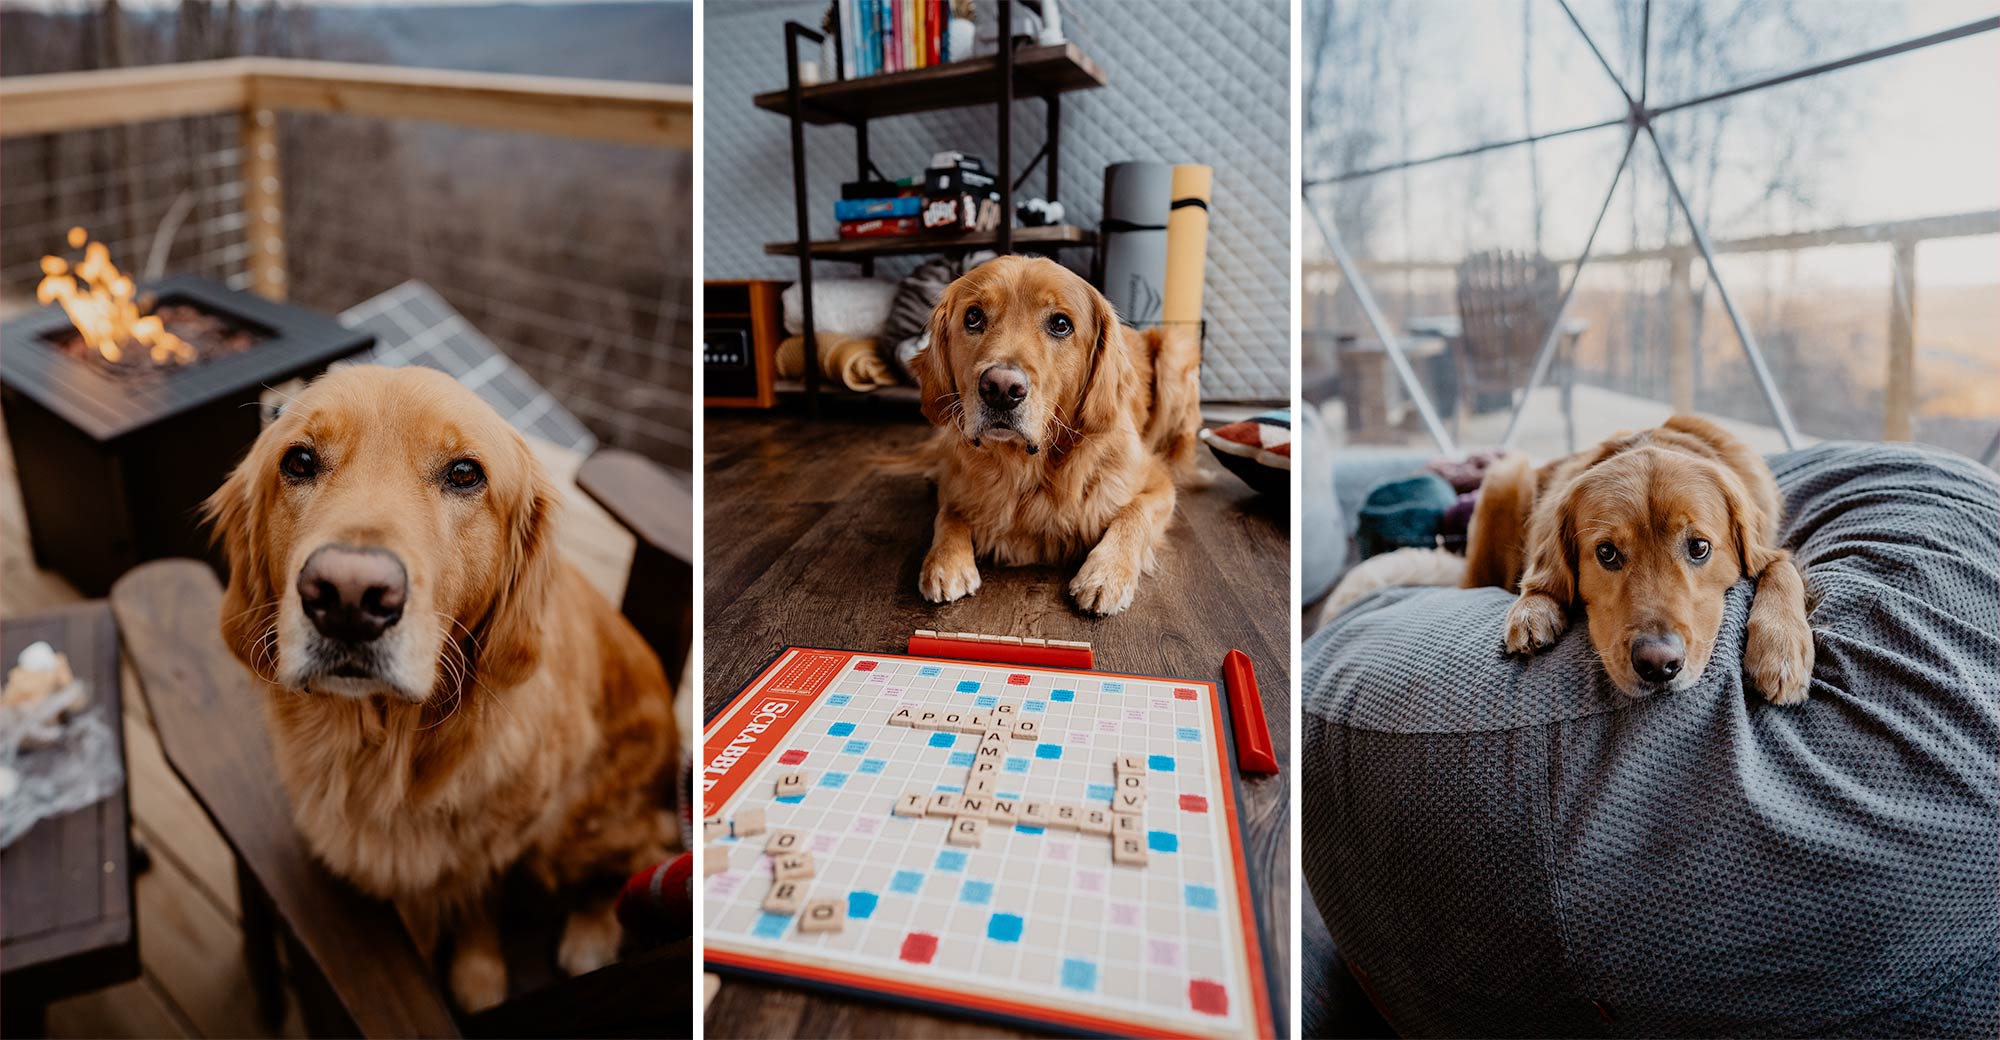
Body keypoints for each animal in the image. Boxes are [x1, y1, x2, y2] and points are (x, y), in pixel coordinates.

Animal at [203, 364, 676, 1008]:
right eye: (298, 461)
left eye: (464, 473)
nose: (348, 597)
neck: (386, 753)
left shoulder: (499, 844)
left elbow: (477, 901)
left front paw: (479, 977)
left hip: (582, 823)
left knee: (637, 857)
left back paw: (592, 935)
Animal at [908, 255, 1200, 612]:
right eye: (973, 317)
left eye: (1061, 324)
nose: (1001, 389)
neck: (1026, 468)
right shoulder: (957, 482)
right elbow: (948, 511)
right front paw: (944, 560)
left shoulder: (1158, 483)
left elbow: (1134, 512)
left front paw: (1106, 573)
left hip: (1176, 350)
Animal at [1472, 416, 1816, 708]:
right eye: (1606, 553)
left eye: (1699, 547)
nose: (1659, 664)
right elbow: (1539, 579)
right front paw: (1533, 607)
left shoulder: (1769, 548)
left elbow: (1780, 566)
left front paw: (1781, 650)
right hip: (1504, 476)